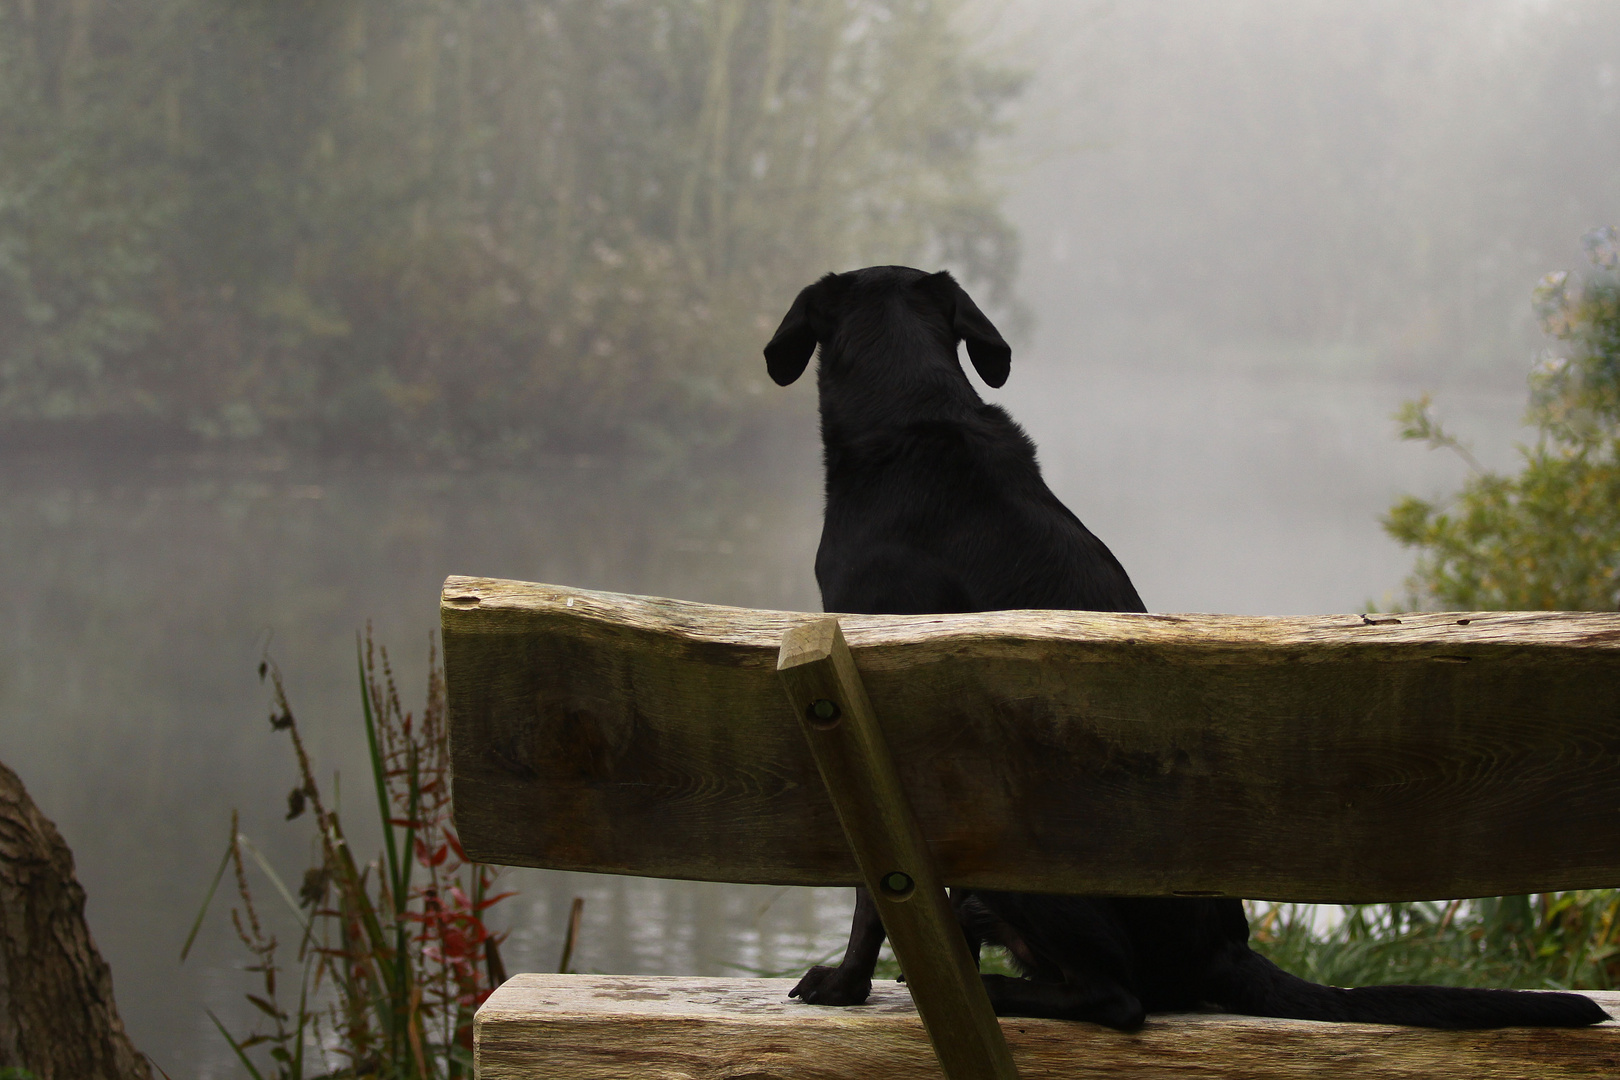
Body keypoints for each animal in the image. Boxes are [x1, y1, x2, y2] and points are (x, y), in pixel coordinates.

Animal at [764, 263, 1613, 1029]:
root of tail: (1221, 952)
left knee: (1118, 999)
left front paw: (846, 986)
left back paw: (995, 992)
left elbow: (872, 901)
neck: (915, 426)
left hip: (1019, 846)